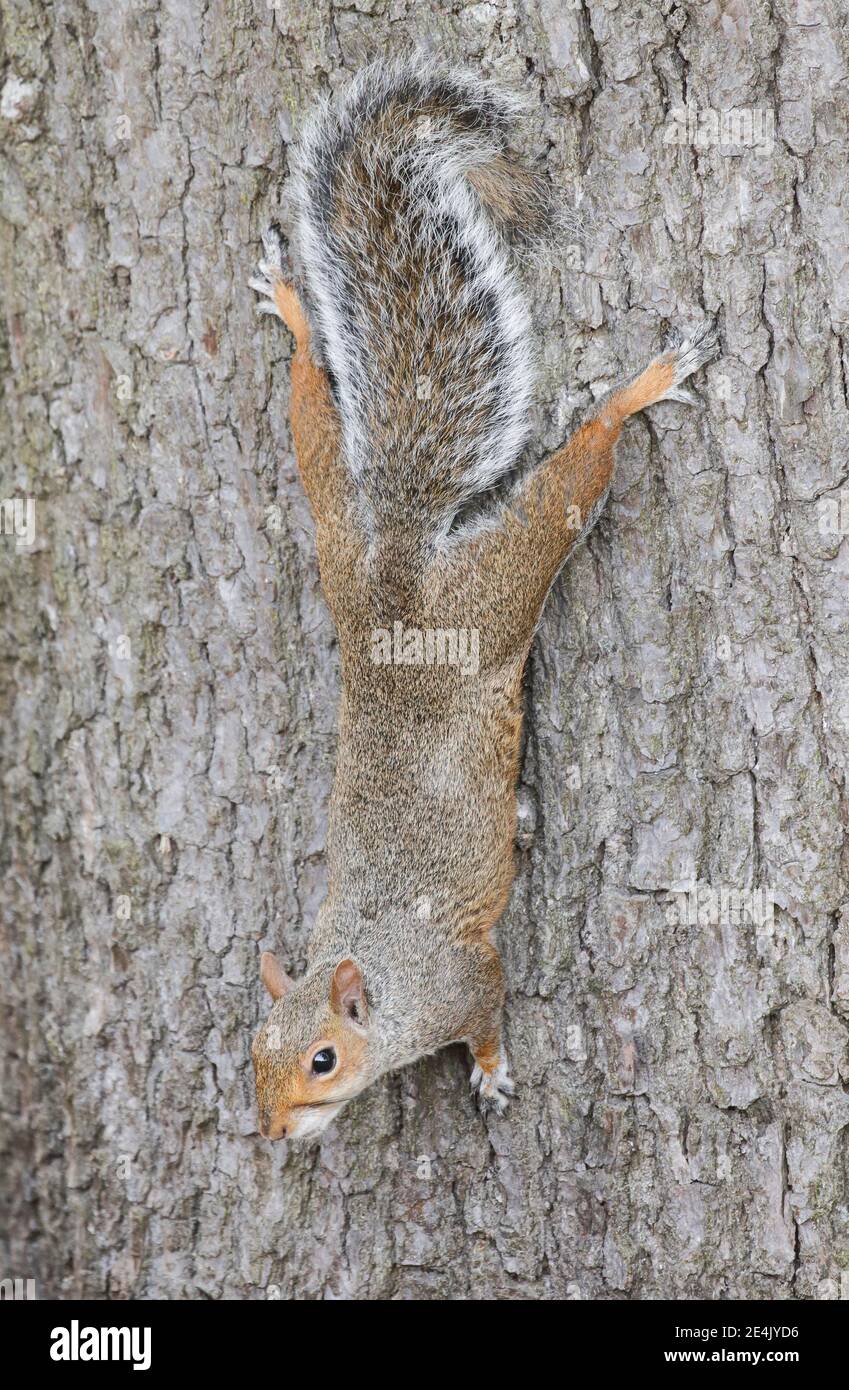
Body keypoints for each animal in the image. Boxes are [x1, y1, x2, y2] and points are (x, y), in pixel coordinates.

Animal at [248, 56, 722, 1139]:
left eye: (324, 1059)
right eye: (255, 1054)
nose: (274, 1133)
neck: (382, 972)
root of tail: (396, 581)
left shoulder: (465, 975)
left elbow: (492, 1013)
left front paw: (493, 1073)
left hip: (501, 580)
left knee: (569, 482)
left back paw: (637, 389)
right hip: (335, 530)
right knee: (309, 413)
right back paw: (296, 314)